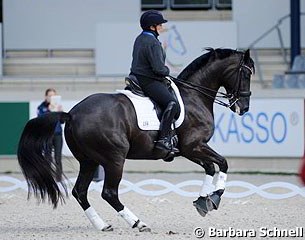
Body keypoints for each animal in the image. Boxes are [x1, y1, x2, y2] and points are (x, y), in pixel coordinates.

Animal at [17, 48, 254, 232]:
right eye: (246, 73)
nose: (243, 108)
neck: (193, 97)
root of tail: (71, 114)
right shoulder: (194, 146)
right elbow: (222, 163)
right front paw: (215, 197)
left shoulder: (189, 150)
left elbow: (210, 168)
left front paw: (203, 201)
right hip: (114, 159)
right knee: (109, 193)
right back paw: (138, 223)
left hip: (89, 161)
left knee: (80, 192)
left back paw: (102, 225)